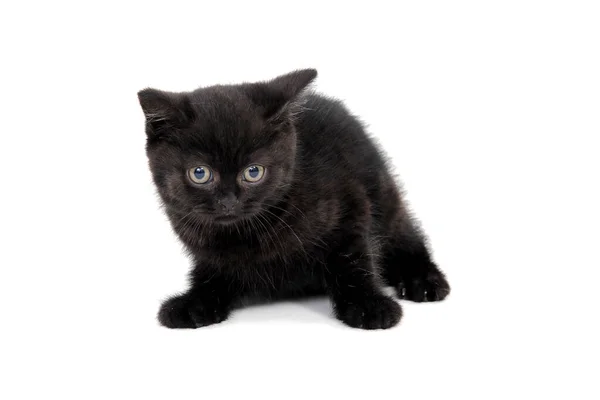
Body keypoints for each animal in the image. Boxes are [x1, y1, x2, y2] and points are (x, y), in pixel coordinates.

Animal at [138, 69, 450, 332]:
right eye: (200, 173)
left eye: (253, 172)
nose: (228, 202)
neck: (246, 233)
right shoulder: (207, 251)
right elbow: (211, 275)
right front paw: (193, 303)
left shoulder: (350, 207)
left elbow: (354, 259)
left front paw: (369, 306)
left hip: (384, 196)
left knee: (405, 236)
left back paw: (423, 280)